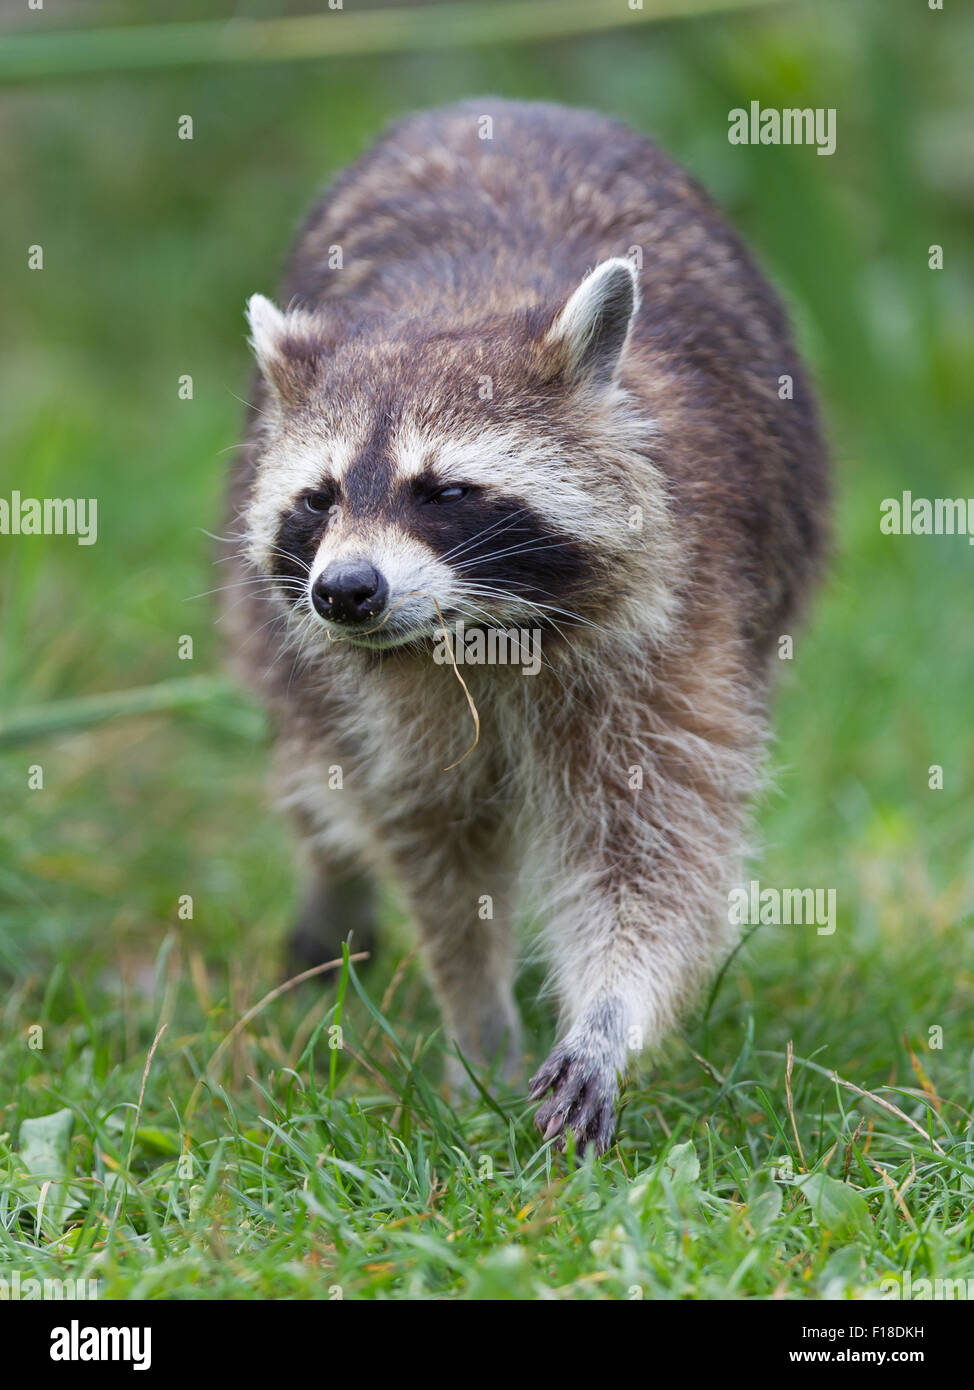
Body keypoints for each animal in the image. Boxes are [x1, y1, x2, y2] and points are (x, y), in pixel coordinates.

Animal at [225, 99, 829, 1154]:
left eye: (444, 492)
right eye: (320, 496)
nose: (346, 591)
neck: (479, 631)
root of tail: (492, 107)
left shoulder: (677, 629)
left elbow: (653, 852)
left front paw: (607, 1016)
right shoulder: (385, 696)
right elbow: (432, 849)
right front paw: (478, 1019)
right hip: (272, 635)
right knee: (311, 755)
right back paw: (331, 886)